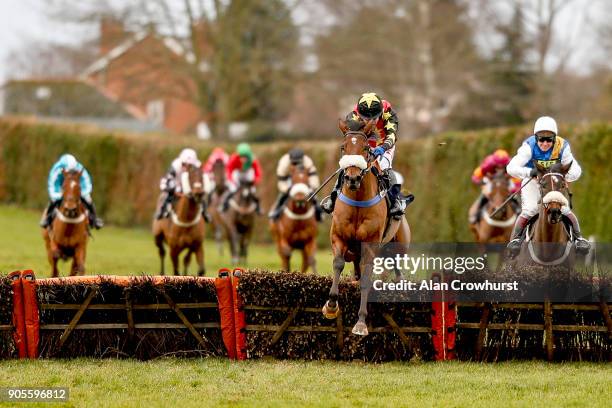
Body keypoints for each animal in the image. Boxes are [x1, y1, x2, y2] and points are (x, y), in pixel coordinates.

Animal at [320, 118, 412, 334]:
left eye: (365, 148)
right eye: (343, 147)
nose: (352, 178)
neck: (358, 201)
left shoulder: (370, 244)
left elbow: (367, 279)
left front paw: (361, 322)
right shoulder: (339, 237)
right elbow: (338, 264)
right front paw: (331, 306)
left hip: (398, 247)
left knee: (396, 269)